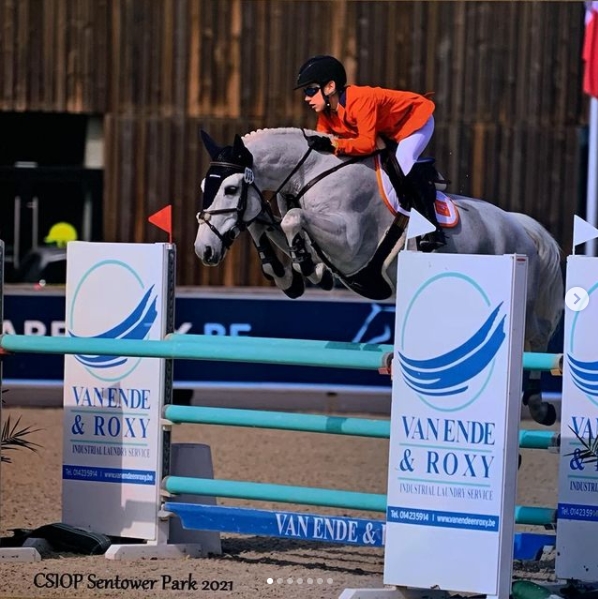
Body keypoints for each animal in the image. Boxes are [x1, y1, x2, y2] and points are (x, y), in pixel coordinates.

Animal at [197, 127, 568, 426]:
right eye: (205, 186)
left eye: (230, 189)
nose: (204, 250)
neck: (312, 174)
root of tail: (518, 225)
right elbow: (266, 222)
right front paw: (290, 274)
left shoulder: (350, 244)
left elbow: (292, 219)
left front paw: (305, 267)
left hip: (522, 301)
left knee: (537, 338)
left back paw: (540, 406)